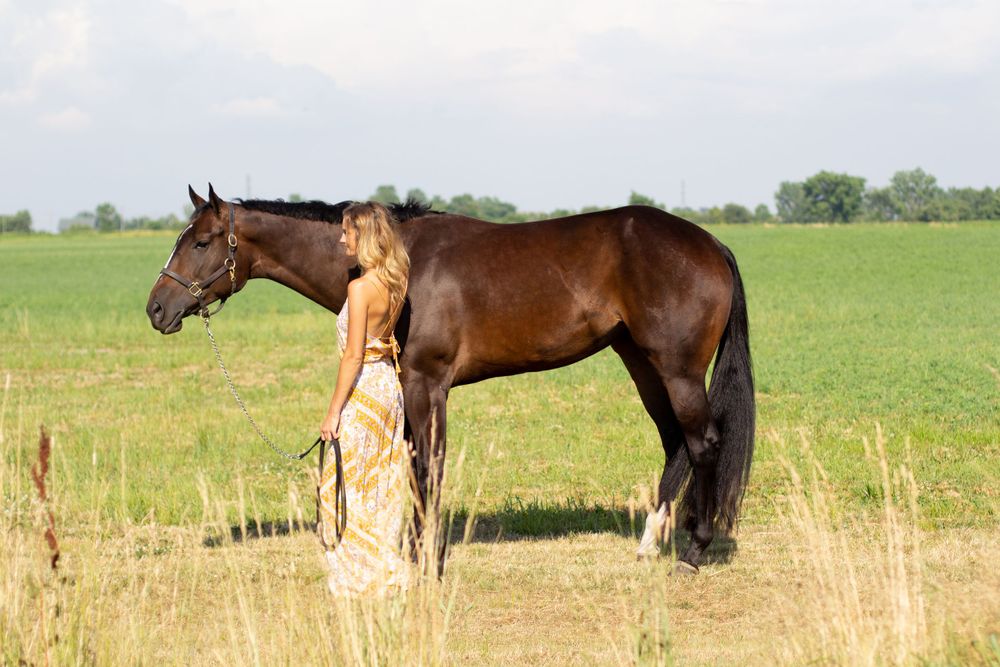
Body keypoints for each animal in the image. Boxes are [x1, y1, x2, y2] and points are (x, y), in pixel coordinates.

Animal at [146, 184, 754, 575]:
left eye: (200, 242)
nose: (156, 308)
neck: (401, 263)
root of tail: (712, 244)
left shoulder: (427, 385)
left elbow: (429, 470)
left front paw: (428, 560)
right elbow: (417, 469)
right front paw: (416, 551)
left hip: (676, 370)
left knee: (703, 443)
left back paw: (693, 553)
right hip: (641, 362)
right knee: (676, 443)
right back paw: (653, 543)